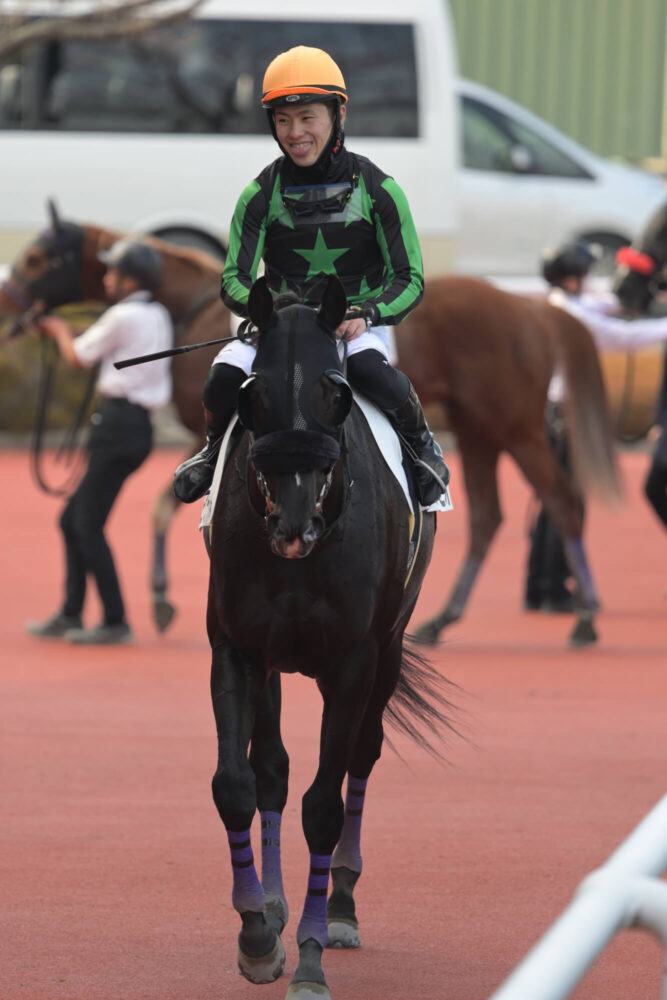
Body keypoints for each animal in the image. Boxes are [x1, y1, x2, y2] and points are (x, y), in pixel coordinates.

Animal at [2, 203, 624, 648]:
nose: (9, 307)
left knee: (562, 502)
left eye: (35, 259)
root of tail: (535, 308)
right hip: (479, 432)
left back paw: (586, 617)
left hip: (514, 428)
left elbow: (159, 507)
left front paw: (159, 598)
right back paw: (443, 618)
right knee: (488, 517)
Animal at [206, 276, 452, 1000]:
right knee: (272, 770)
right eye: (252, 394)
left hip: (388, 654)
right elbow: (236, 783)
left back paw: (339, 903)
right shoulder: (236, 648)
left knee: (361, 759)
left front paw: (312, 959)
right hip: (276, 666)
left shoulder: (353, 661)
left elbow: (325, 802)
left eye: (333, 393)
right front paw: (257, 936)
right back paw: (275, 904)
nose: (293, 524)